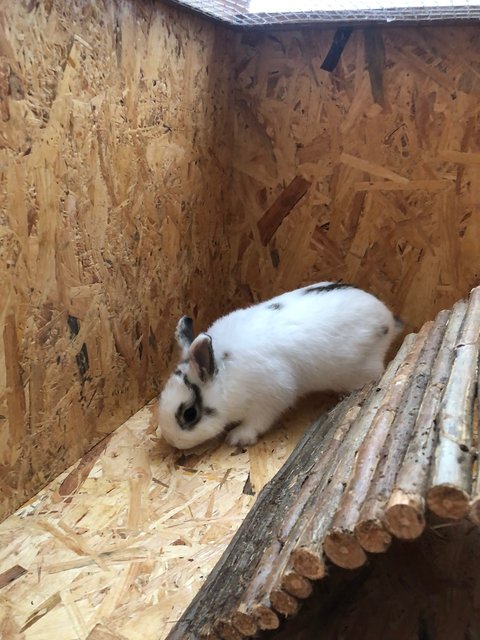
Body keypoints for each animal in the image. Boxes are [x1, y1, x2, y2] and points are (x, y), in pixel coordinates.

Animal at [158, 282, 402, 452]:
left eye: (190, 414)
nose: (172, 441)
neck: (225, 372)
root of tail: (388, 319)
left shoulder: (271, 398)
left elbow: (257, 422)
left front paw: (237, 437)